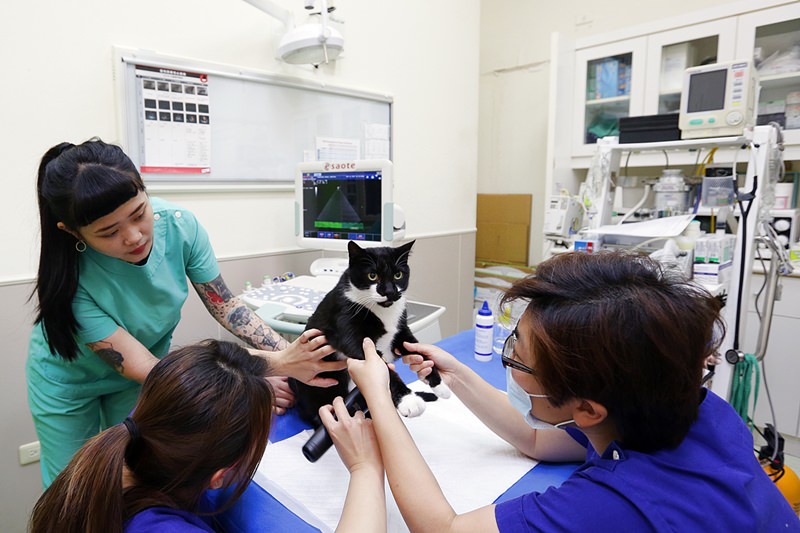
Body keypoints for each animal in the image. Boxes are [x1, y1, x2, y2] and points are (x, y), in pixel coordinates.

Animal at [288, 239, 450, 422]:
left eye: (398, 275)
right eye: (372, 275)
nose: (390, 292)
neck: (382, 311)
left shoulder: (401, 331)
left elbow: (419, 352)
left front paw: (440, 385)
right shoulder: (346, 324)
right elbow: (383, 369)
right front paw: (409, 400)